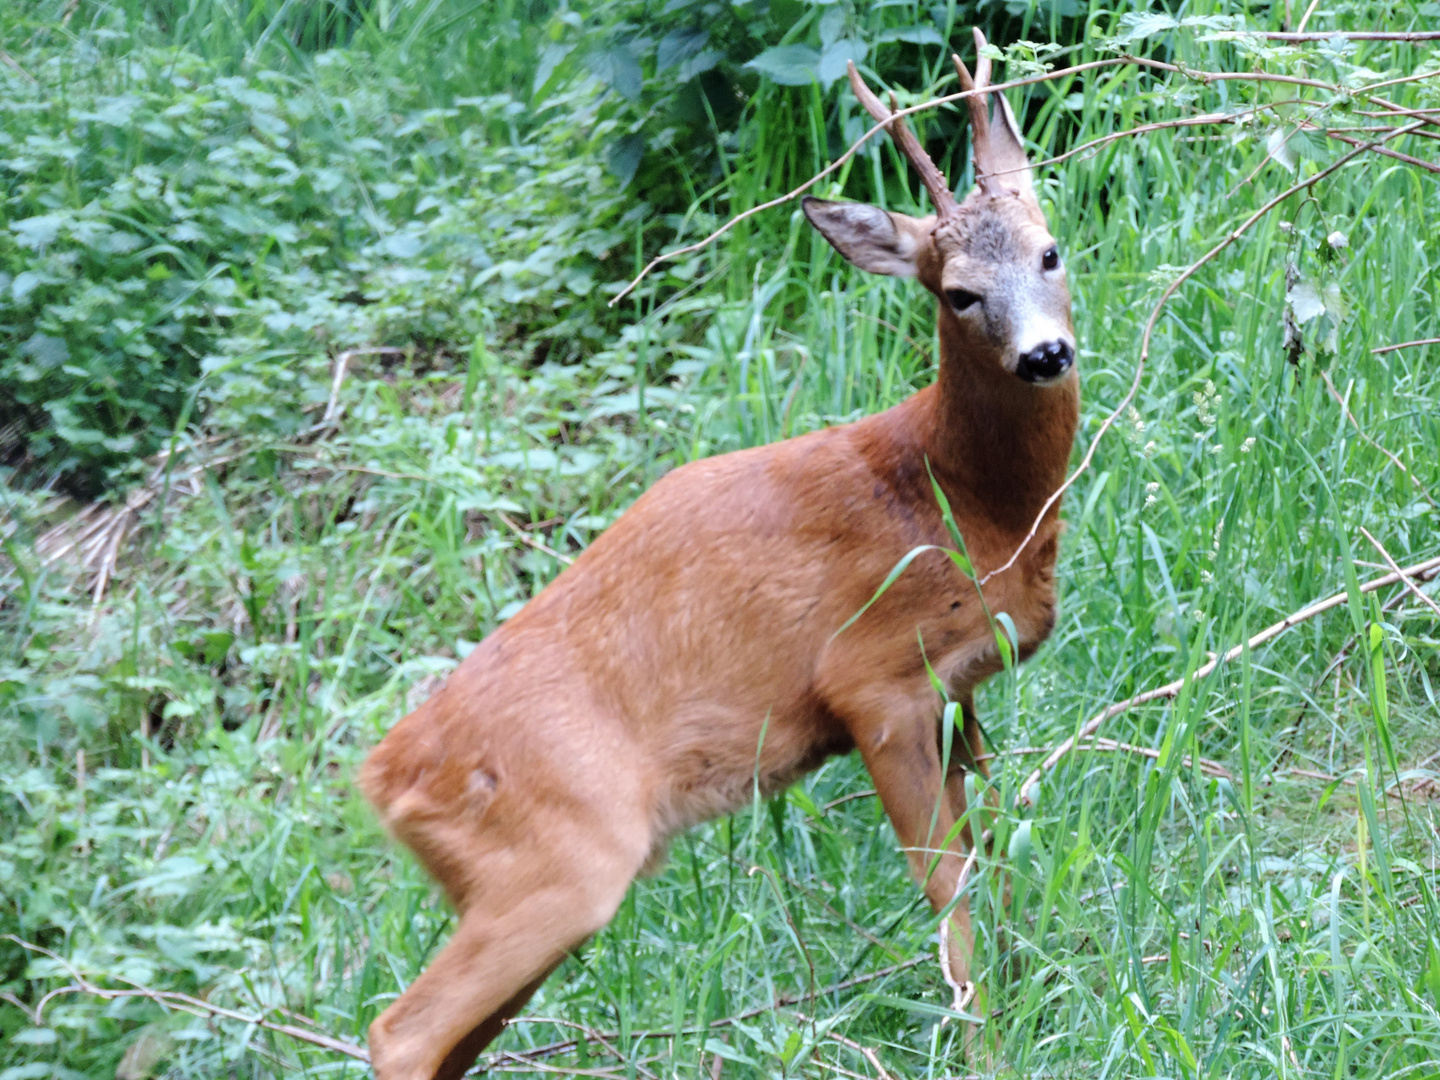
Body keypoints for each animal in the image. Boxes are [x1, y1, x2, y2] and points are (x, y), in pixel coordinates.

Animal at [365, 29, 1077, 1077]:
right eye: (958, 293)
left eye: (1049, 251)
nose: (1043, 355)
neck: (958, 501)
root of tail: (383, 780)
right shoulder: (872, 683)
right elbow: (946, 883)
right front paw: (985, 1040)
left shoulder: (960, 692)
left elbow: (998, 855)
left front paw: (1036, 991)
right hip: (560, 861)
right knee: (402, 1030)